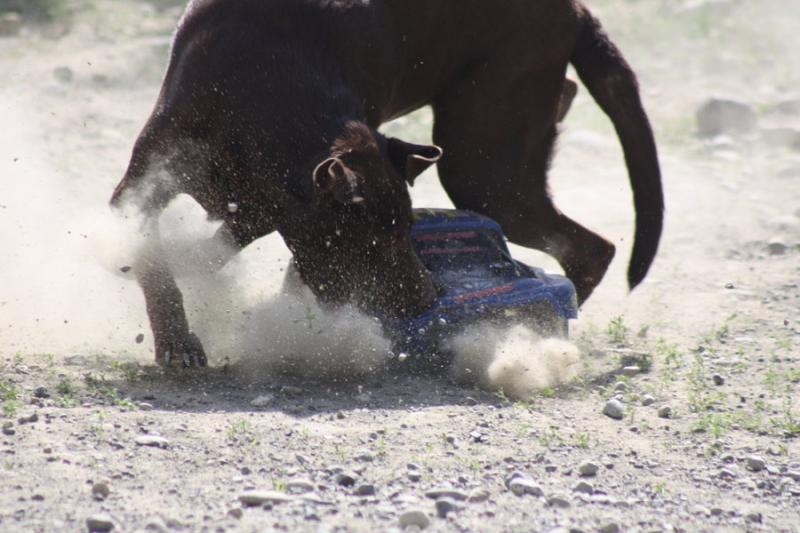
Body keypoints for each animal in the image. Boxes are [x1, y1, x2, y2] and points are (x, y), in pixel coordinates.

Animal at [111, 0, 664, 366]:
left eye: (405, 233)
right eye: (370, 242)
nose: (427, 302)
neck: (265, 88)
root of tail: (576, 8)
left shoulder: (262, 210)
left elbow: (202, 255)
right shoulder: (141, 189)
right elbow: (161, 264)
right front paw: (178, 341)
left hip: (484, 170)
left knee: (590, 249)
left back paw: (542, 338)